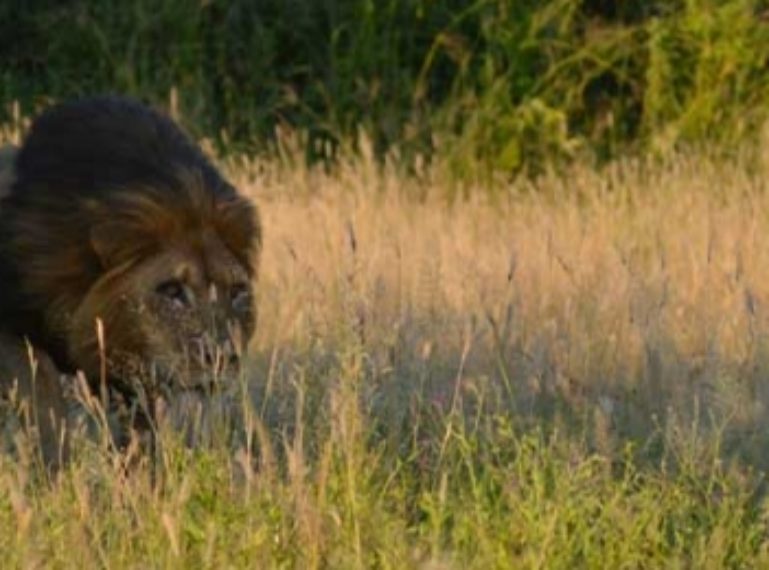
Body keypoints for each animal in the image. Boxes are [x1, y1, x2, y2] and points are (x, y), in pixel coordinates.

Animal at [0, 94, 260, 466]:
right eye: (171, 290)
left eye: (237, 293)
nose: (223, 357)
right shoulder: (11, 332)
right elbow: (45, 405)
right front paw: (55, 470)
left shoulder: (139, 375)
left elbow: (140, 437)